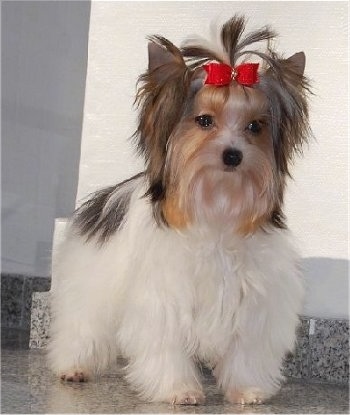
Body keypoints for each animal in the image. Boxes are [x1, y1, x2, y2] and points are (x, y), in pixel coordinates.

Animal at [47, 15, 312, 406]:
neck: (217, 207)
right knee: (81, 324)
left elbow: (245, 351)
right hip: (90, 280)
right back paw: (73, 366)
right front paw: (178, 389)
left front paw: (246, 389)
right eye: (204, 121)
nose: (233, 155)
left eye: (255, 127)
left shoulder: (253, 305)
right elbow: (164, 346)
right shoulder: (163, 299)